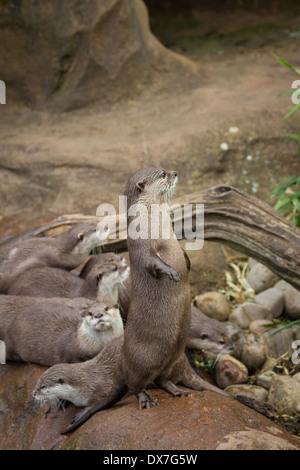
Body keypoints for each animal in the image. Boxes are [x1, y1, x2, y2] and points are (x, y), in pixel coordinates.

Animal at [62, 167, 229, 436]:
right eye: (162, 174)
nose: (175, 172)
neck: (156, 224)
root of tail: (120, 365)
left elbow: (183, 253)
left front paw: (186, 264)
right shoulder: (142, 249)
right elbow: (154, 263)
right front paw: (172, 273)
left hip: (173, 355)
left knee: (161, 378)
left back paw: (176, 390)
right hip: (143, 361)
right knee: (135, 385)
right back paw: (146, 400)